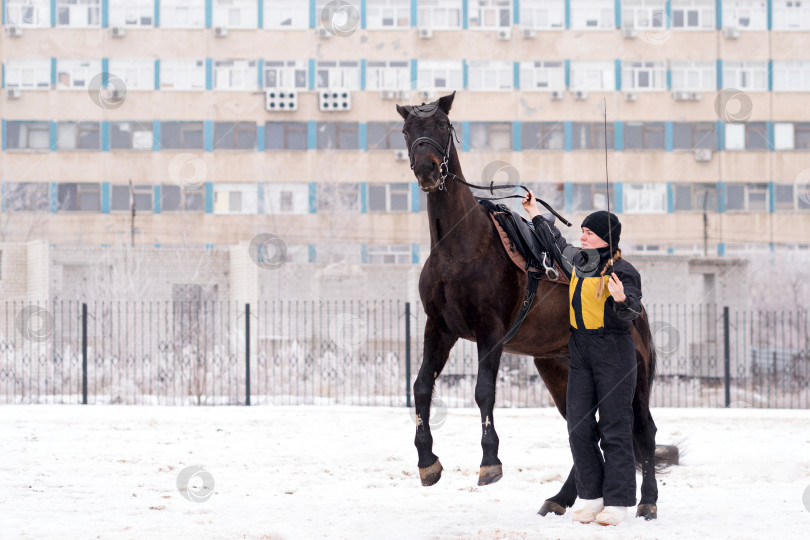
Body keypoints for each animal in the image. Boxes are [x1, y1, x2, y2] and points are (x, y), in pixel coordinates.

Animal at [394, 92, 664, 520]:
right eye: (407, 131)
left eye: (441, 126)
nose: (426, 168)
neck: (460, 247)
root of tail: (641, 315)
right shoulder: (439, 328)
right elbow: (421, 387)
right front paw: (427, 462)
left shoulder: (490, 333)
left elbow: (483, 392)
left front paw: (490, 463)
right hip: (557, 368)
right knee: (585, 428)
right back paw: (562, 498)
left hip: (634, 377)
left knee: (644, 431)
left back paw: (647, 502)